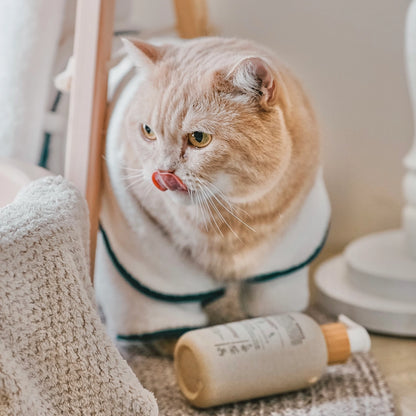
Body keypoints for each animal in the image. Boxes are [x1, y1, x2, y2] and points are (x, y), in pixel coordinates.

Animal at [95, 36, 332, 354]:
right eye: (148, 131)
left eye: (199, 138)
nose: (163, 173)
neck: (231, 219)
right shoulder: (148, 259)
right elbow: (163, 313)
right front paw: (174, 346)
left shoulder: (285, 260)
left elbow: (275, 310)